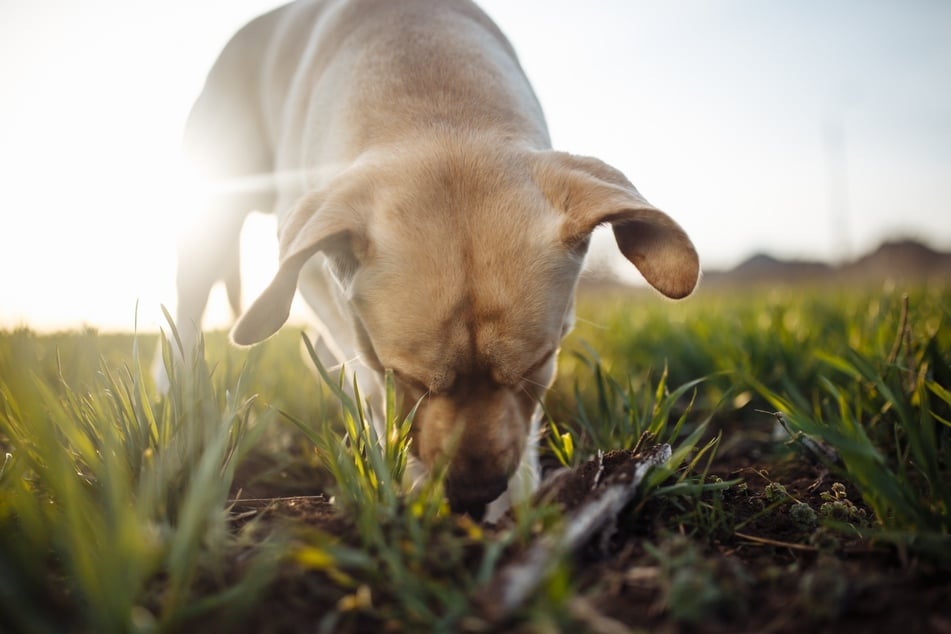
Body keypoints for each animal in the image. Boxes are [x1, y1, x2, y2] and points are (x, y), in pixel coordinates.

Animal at [175, 0, 700, 520]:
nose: (475, 494)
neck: (436, 99)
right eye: (408, 378)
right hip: (214, 208)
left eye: (538, 364)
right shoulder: (312, 266)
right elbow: (369, 376)